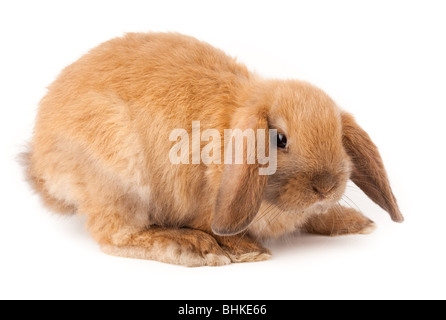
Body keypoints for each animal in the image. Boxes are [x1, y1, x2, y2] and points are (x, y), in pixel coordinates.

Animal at [22, 32, 402, 268]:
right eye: (280, 139)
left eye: (339, 136)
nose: (325, 187)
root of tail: (41, 164)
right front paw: (248, 252)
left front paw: (355, 222)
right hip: (119, 175)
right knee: (115, 235)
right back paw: (192, 248)